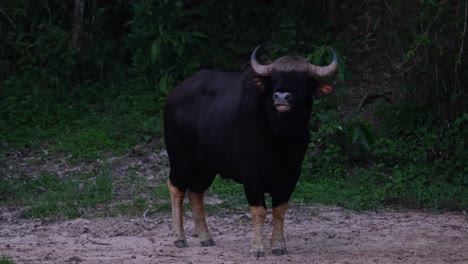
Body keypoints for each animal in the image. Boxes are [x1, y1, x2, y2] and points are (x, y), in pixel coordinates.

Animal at [164, 46, 336, 256]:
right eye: (275, 79)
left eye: (302, 81)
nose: (281, 97)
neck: (280, 135)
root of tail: (173, 95)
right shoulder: (251, 174)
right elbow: (259, 210)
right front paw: (257, 247)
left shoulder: (291, 174)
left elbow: (280, 209)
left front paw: (278, 245)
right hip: (179, 158)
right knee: (176, 188)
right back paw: (179, 237)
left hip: (206, 166)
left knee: (196, 193)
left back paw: (205, 237)